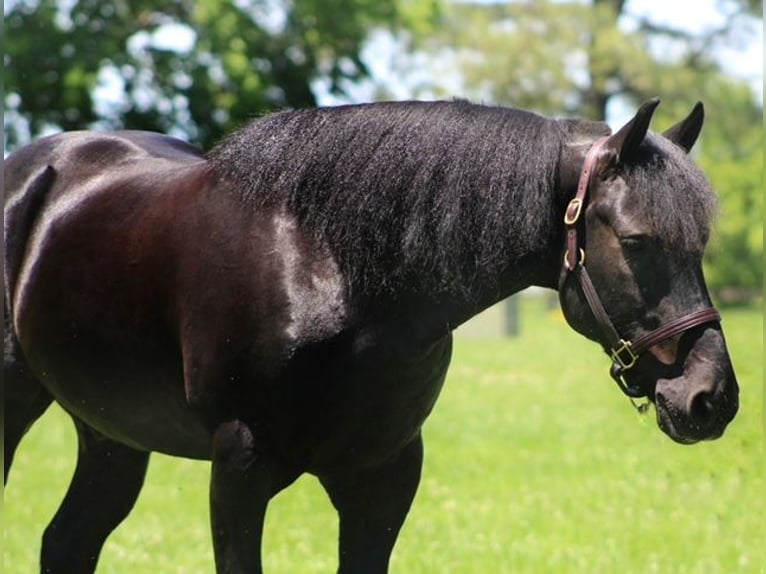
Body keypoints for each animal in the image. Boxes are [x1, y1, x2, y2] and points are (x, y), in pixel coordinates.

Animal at [4, 98, 739, 573]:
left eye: (701, 245)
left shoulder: (383, 477)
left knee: (66, 544)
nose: (711, 398)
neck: (335, 270)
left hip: (110, 435)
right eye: (637, 242)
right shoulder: (238, 470)